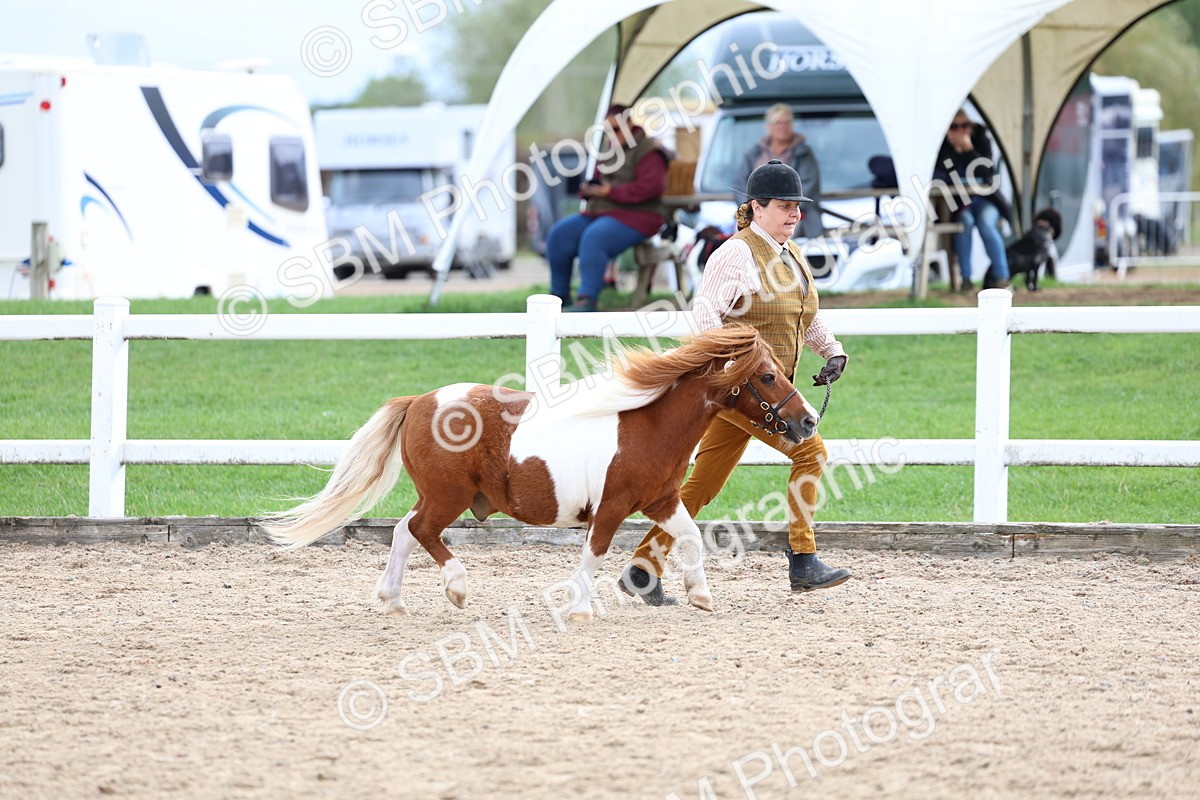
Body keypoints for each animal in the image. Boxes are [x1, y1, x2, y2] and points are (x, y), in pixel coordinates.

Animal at [260, 323, 820, 621]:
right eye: (767, 376)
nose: (808, 420)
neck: (648, 424)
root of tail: (418, 401)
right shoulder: (613, 507)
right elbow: (594, 554)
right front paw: (579, 608)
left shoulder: (662, 499)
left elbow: (690, 537)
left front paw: (700, 596)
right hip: (447, 497)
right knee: (420, 531)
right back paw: (456, 589)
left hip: (437, 494)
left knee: (402, 530)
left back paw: (394, 601)